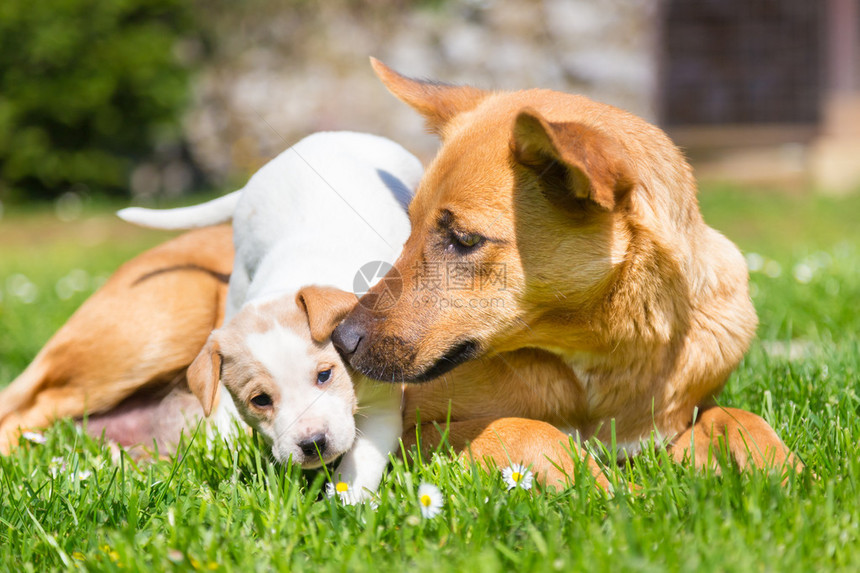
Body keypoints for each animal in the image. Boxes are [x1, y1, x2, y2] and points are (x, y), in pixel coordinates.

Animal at [119, 132, 422, 498]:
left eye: (324, 375)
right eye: (260, 399)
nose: (313, 443)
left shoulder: (381, 406)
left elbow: (359, 464)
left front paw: (345, 503)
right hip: (238, 279)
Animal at [332, 60, 804, 484]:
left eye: (465, 239)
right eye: (409, 227)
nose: (340, 340)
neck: (595, 361)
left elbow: (738, 417)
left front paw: (788, 476)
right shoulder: (412, 434)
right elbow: (530, 430)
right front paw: (611, 489)